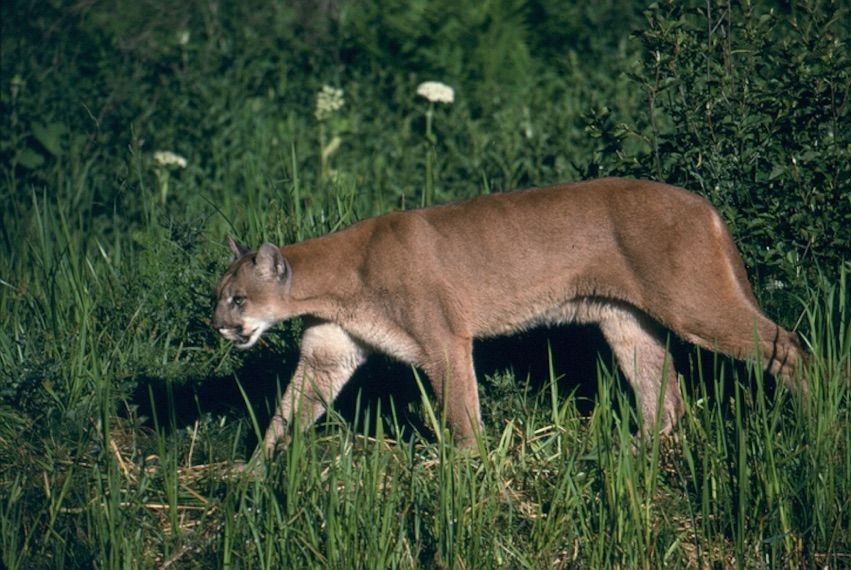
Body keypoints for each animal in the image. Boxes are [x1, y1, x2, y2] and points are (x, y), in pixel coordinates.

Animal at [211, 175, 804, 454]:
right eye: (220, 295)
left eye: (238, 299)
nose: (217, 325)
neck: (334, 281)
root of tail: (703, 203)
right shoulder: (327, 355)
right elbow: (286, 414)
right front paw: (249, 475)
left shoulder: (443, 339)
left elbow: (461, 410)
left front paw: (465, 469)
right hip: (626, 320)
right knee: (664, 393)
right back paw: (631, 451)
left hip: (692, 304)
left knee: (790, 345)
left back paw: (815, 411)